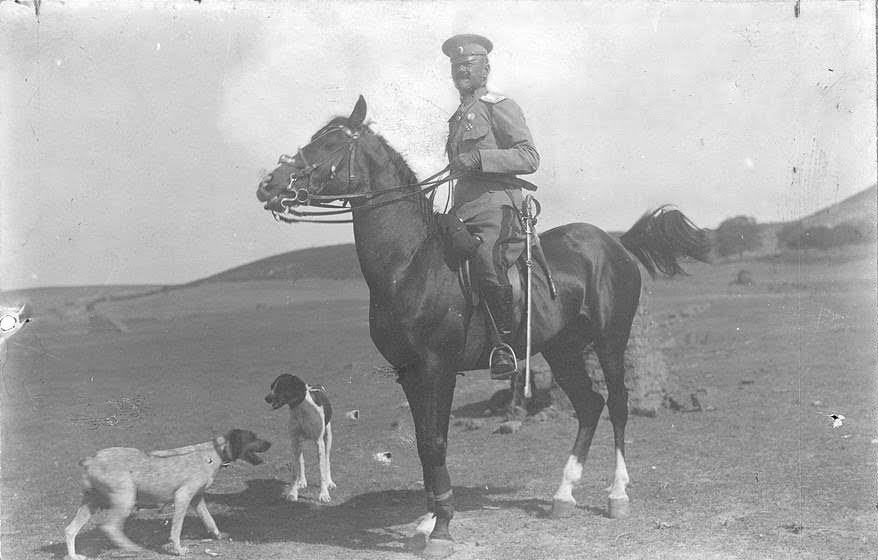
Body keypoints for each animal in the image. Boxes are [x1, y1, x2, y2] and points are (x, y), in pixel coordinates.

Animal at [258, 95, 712, 556]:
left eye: (330, 144)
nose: (269, 186)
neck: (410, 263)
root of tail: (615, 243)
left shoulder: (438, 368)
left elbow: (436, 441)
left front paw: (441, 527)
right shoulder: (409, 372)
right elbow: (424, 443)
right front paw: (429, 519)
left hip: (610, 341)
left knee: (617, 403)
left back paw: (617, 495)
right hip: (562, 349)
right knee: (589, 405)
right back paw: (563, 495)